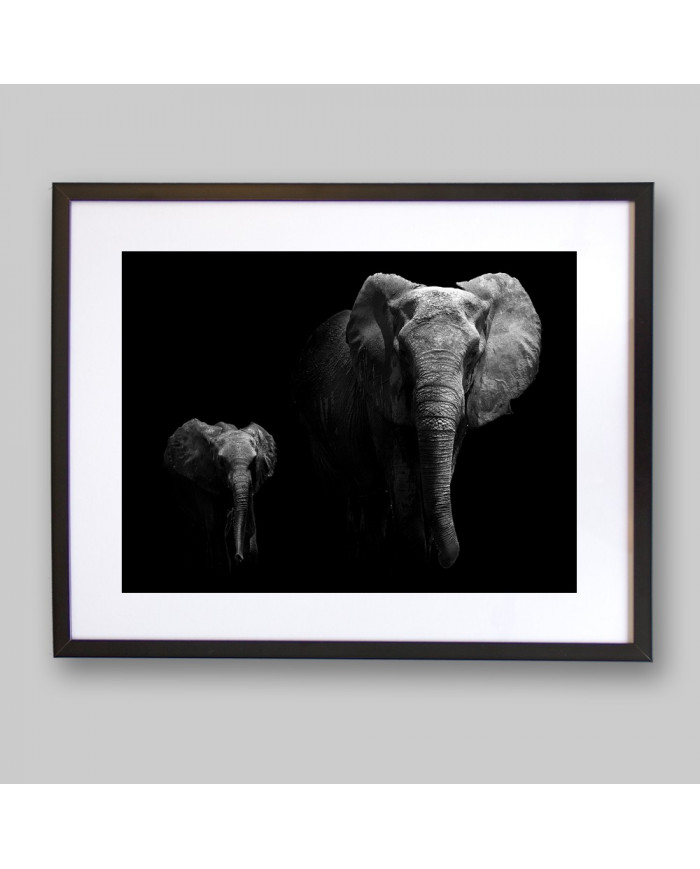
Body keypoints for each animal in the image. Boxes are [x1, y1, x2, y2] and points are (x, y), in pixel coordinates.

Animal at [163, 419, 277, 572]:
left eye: (254, 462)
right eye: (221, 462)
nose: (238, 556)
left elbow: (249, 525)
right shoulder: (202, 475)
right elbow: (215, 525)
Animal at [291, 272, 541, 569]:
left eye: (473, 354)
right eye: (403, 353)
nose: (446, 559)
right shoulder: (381, 393)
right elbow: (403, 477)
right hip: (310, 423)